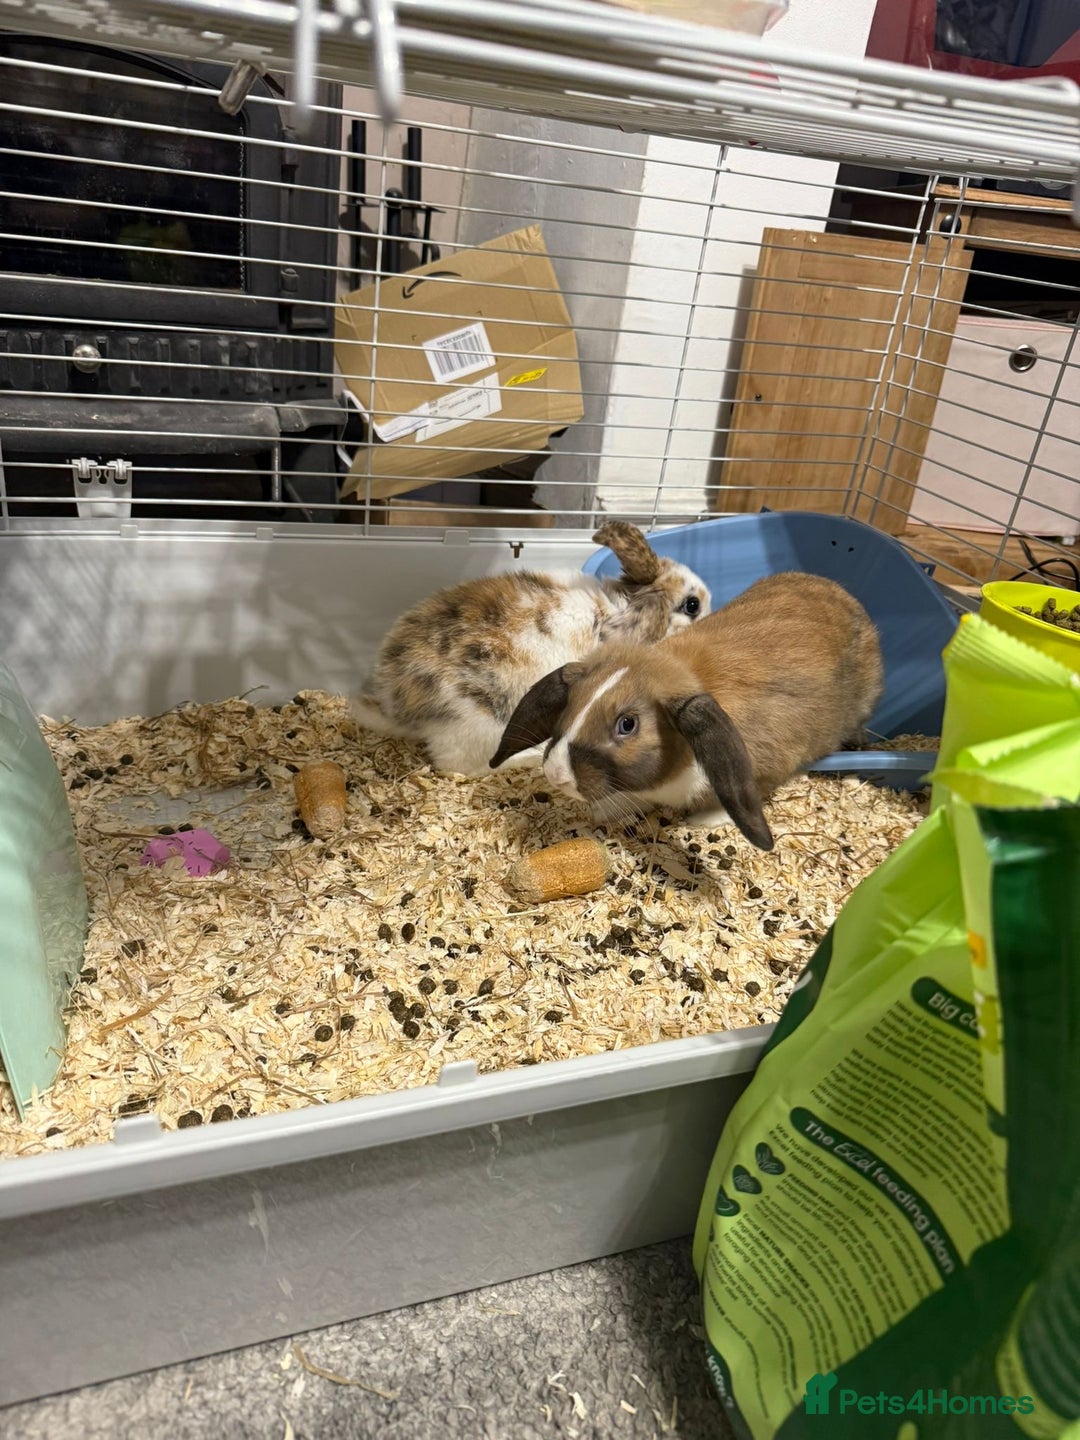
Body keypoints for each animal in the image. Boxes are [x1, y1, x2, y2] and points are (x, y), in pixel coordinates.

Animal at [351, 521, 711, 776]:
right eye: (692, 605)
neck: (619, 611)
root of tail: (395, 705)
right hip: (478, 721)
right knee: (467, 765)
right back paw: (530, 757)